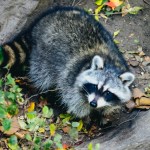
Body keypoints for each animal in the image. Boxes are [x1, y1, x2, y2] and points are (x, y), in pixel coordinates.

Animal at [0, 6, 135, 119]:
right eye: (95, 86)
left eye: (108, 92)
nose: (93, 103)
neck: (111, 65)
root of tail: (41, 22)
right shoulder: (71, 79)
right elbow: (74, 101)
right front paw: (86, 117)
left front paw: (103, 112)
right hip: (43, 54)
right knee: (43, 75)